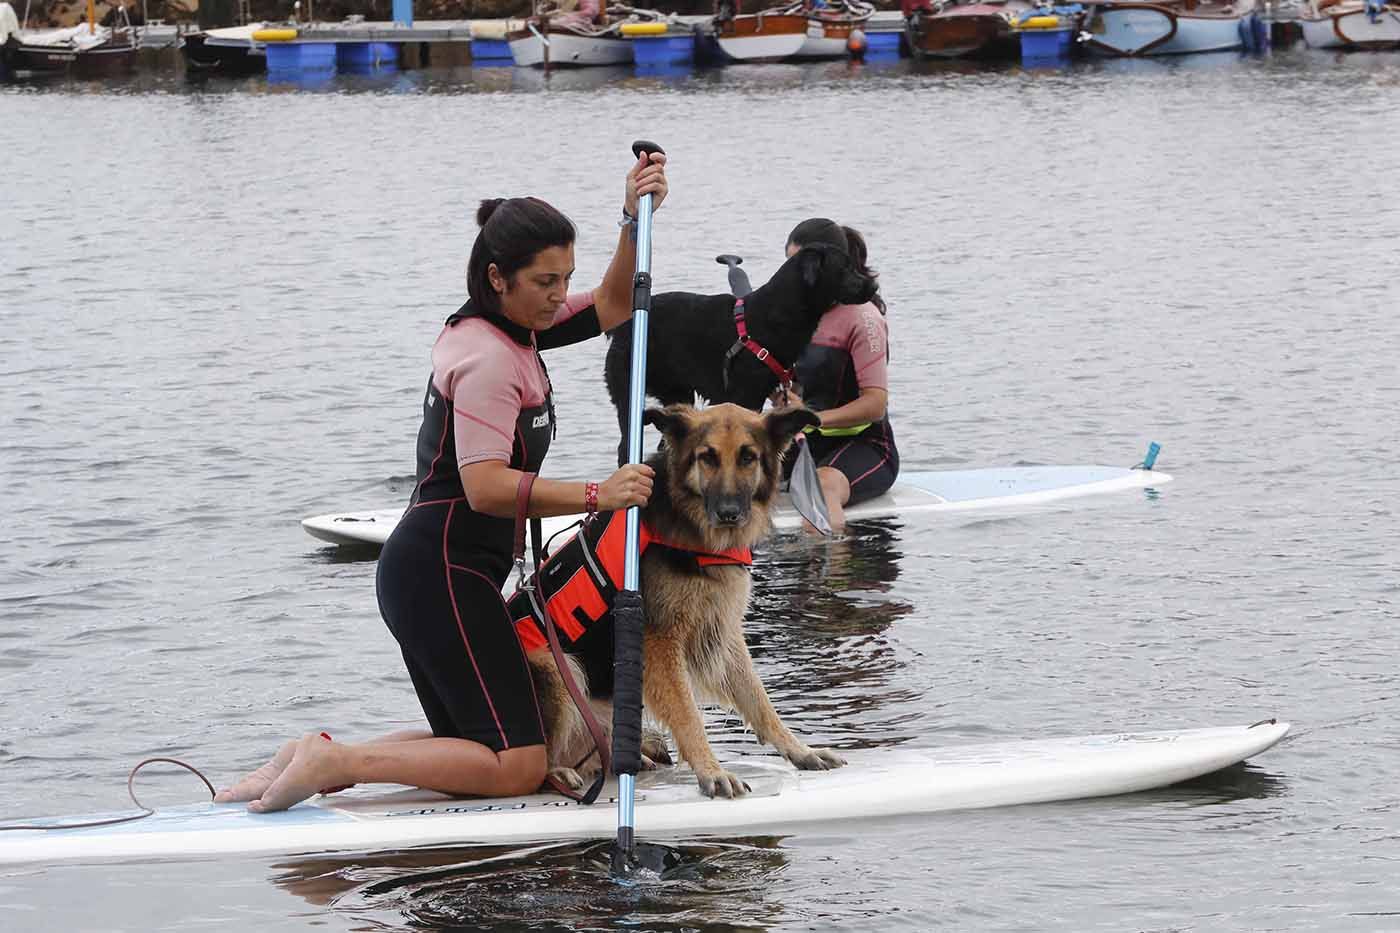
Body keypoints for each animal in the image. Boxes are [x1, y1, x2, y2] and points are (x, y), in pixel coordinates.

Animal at [526, 403, 845, 795]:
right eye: (706, 457)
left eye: (748, 457)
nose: (728, 513)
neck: (692, 530)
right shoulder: (660, 643)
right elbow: (688, 714)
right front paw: (712, 771)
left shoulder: (722, 631)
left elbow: (759, 700)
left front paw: (800, 751)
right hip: (555, 665)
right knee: (536, 765)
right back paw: (559, 773)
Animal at [602, 240, 873, 462]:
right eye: (845, 267)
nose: (873, 285)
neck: (773, 314)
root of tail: (621, 327)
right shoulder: (744, 396)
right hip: (629, 393)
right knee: (625, 447)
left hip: (678, 393)